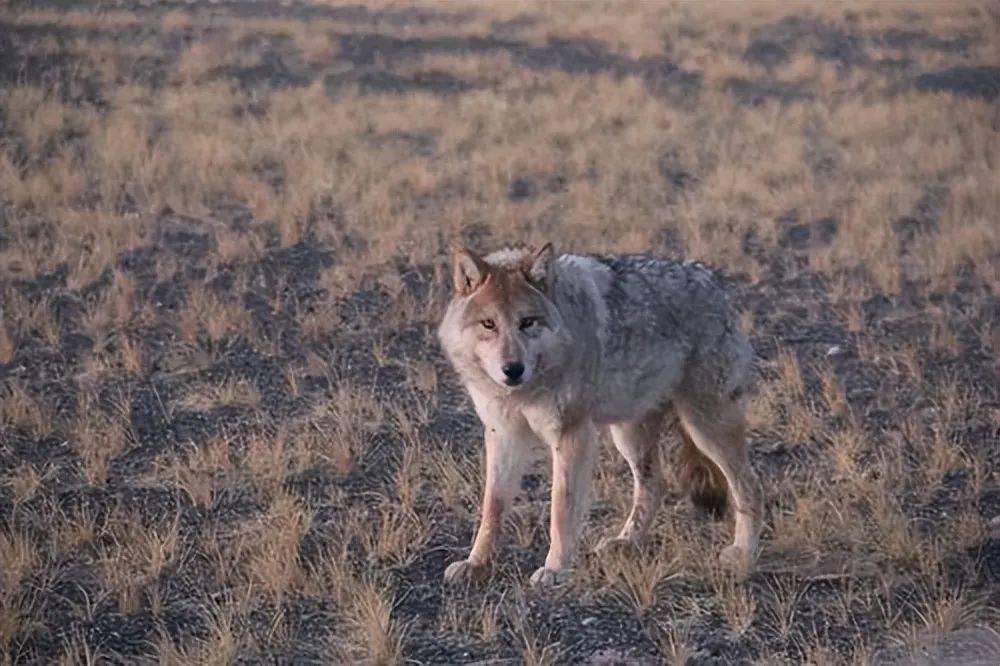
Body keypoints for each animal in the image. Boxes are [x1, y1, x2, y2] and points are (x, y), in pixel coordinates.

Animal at [440, 241, 764, 584]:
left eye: (527, 322)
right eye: (489, 324)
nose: (513, 370)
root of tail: (715, 283)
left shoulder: (572, 434)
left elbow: (561, 508)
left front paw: (554, 568)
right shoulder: (503, 434)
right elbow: (492, 506)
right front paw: (476, 563)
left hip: (705, 429)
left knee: (750, 485)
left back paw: (743, 553)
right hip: (630, 435)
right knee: (655, 486)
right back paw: (626, 542)